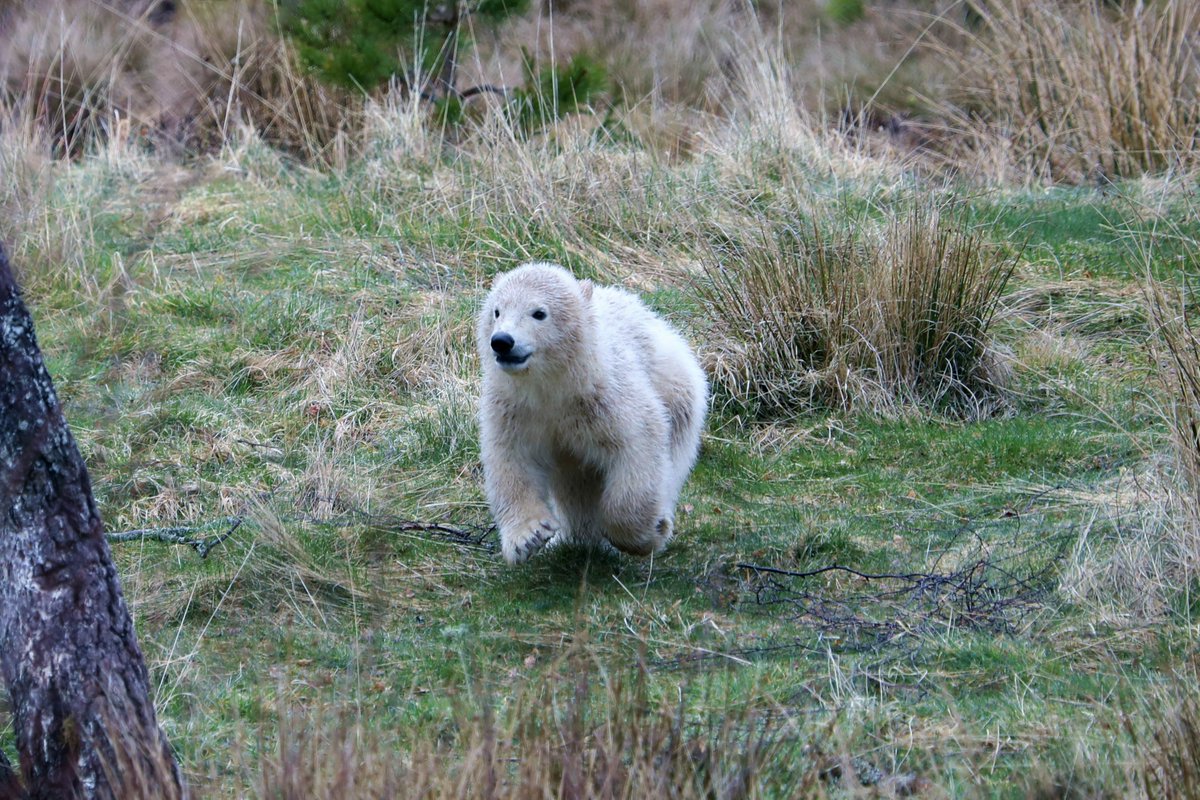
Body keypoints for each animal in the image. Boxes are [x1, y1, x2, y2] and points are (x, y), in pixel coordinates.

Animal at [477, 262, 708, 565]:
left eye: (539, 313)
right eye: (497, 311)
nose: (502, 341)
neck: (553, 387)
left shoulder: (606, 398)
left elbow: (638, 443)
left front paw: (645, 535)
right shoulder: (514, 408)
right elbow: (511, 459)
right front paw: (528, 537)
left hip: (678, 394)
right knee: (575, 483)